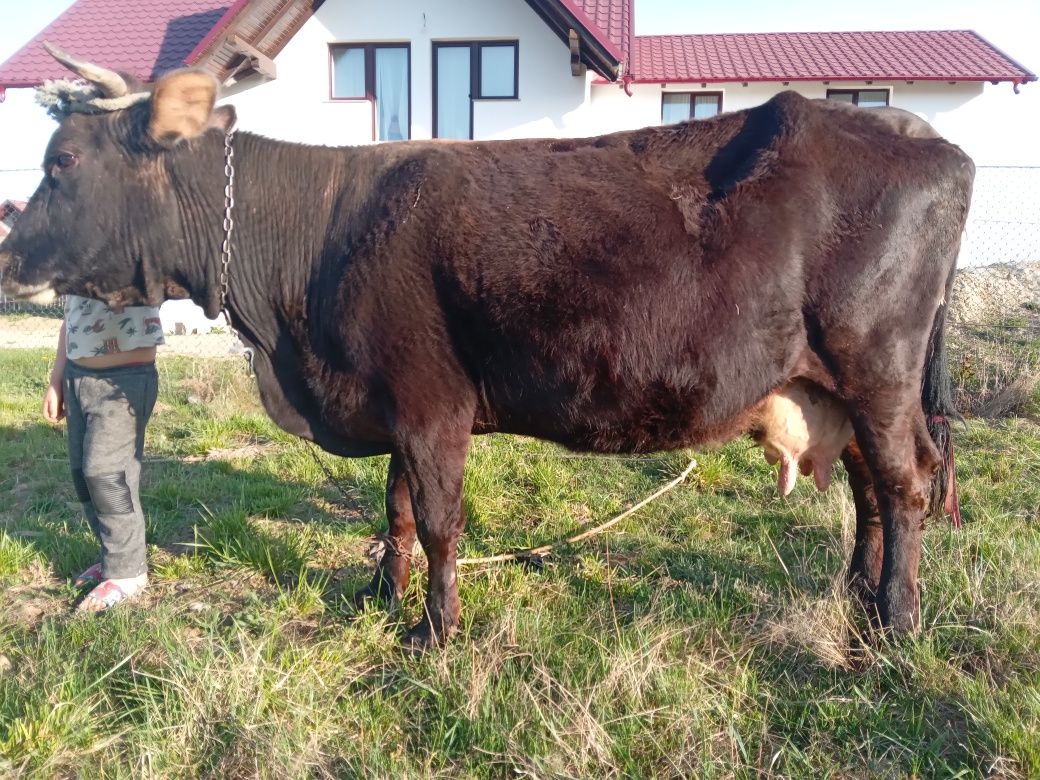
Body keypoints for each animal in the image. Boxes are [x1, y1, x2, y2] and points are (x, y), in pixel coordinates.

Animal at [2, 48, 973, 648]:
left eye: (62, 163)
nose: (8, 254)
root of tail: (921, 136)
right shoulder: (394, 401)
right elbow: (394, 510)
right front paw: (380, 597)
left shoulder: (434, 406)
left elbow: (438, 521)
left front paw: (435, 631)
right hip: (831, 386)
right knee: (870, 490)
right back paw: (857, 598)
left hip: (878, 369)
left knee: (905, 486)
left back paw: (896, 621)